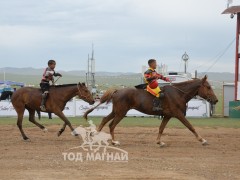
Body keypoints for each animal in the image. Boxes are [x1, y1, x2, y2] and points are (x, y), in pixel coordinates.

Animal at [84, 75, 218, 147]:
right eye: (208, 87)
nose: (216, 100)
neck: (179, 93)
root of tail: (117, 91)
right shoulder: (179, 115)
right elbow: (191, 127)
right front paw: (202, 140)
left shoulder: (167, 116)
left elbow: (161, 128)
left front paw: (159, 142)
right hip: (121, 113)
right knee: (111, 125)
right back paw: (113, 142)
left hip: (116, 111)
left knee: (105, 119)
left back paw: (96, 135)